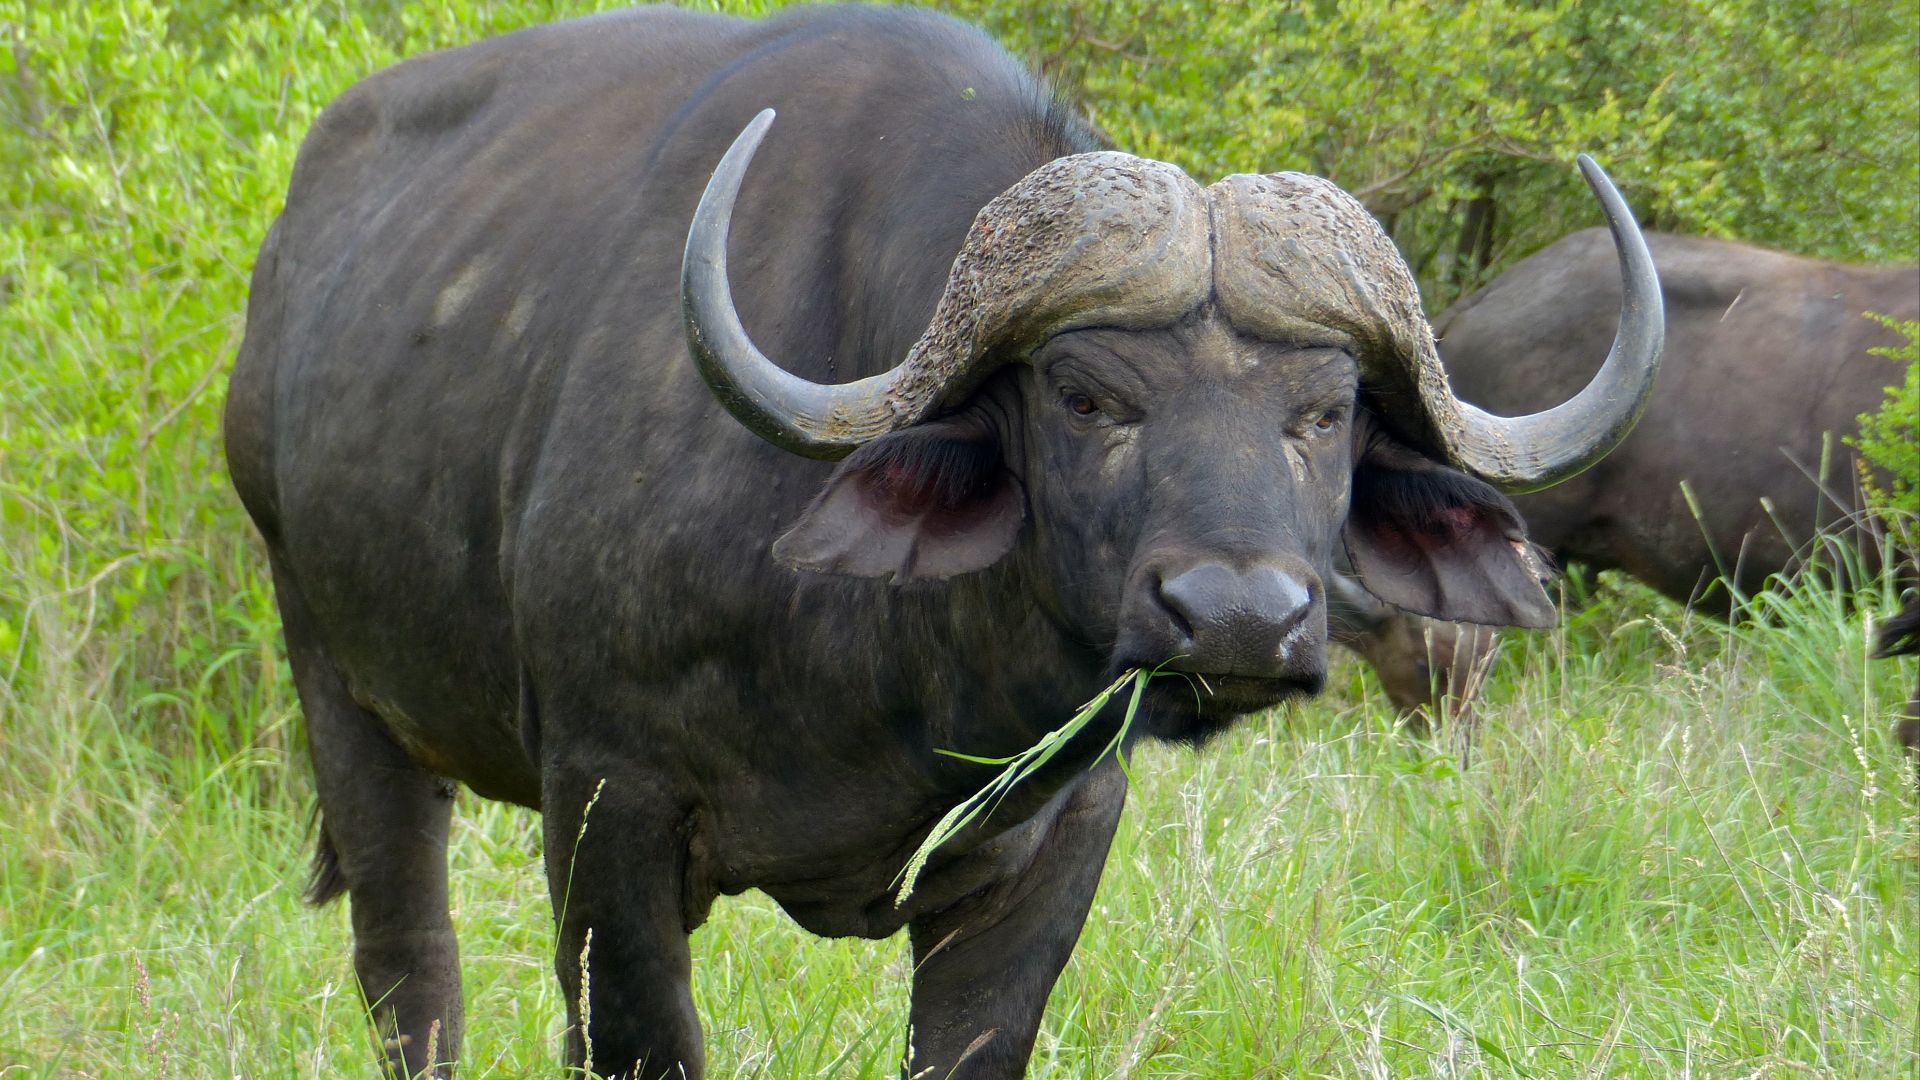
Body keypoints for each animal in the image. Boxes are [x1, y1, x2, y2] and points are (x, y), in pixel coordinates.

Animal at [225, 7, 1661, 1078]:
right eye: (1086, 395)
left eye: (1327, 410)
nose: (1240, 617)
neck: (905, 668)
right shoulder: (604, 809)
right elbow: (633, 1038)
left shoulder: (1059, 839)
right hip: (339, 685)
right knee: (410, 968)